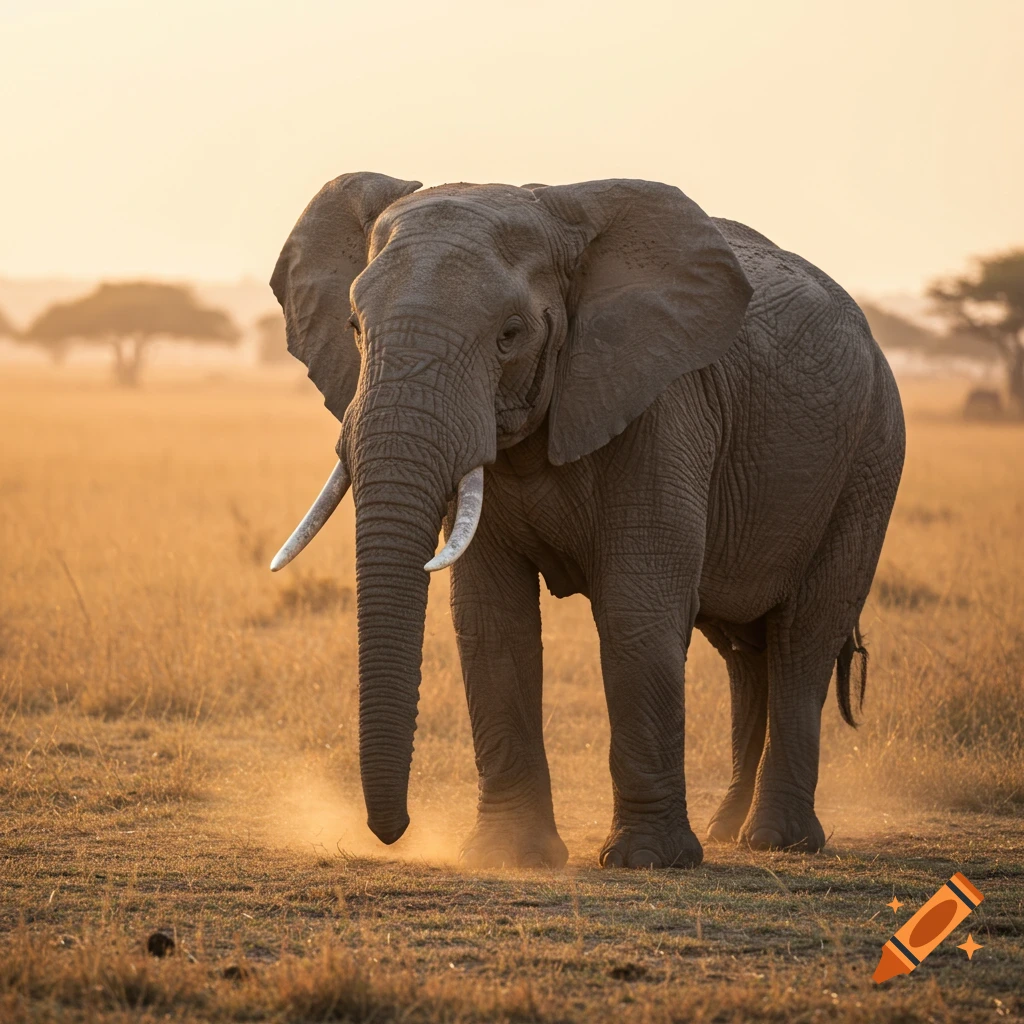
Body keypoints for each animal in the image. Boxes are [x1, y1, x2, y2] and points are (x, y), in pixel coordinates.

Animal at [268, 172, 905, 870]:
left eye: (510, 334)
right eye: (354, 327)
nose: (393, 832)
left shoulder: (665, 405)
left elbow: (637, 607)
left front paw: (646, 861)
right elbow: (492, 616)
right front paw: (507, 856)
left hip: (870, 458)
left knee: (803, 635)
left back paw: (777, 842)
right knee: (745, 651)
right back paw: (727, 832)